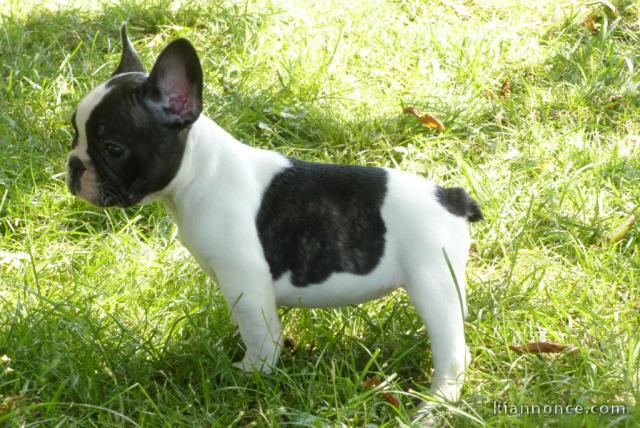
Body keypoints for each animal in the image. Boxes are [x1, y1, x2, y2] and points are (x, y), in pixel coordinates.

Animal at [67, 24, 482, 404]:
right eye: (73, 132)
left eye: (113, 148)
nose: (73, 165)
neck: (201, 172)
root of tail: (451, 197)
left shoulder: (245, 279)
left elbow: (260, 333)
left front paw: (251, 373)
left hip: (432, 282)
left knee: (452, 353)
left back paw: (435, 405)